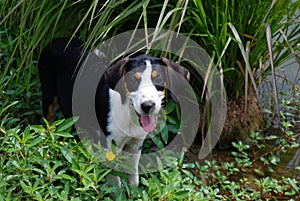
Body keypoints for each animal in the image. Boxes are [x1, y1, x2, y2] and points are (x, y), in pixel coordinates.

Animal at [38, 38, 190, 187]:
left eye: (158, 79)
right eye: (133, 80)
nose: (148, 106)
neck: (129, 115)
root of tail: (56, 40)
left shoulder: (136, 145)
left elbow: (133, 176)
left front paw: (134, 191)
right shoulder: (110, 146)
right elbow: (115, 181)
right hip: (49, 97)